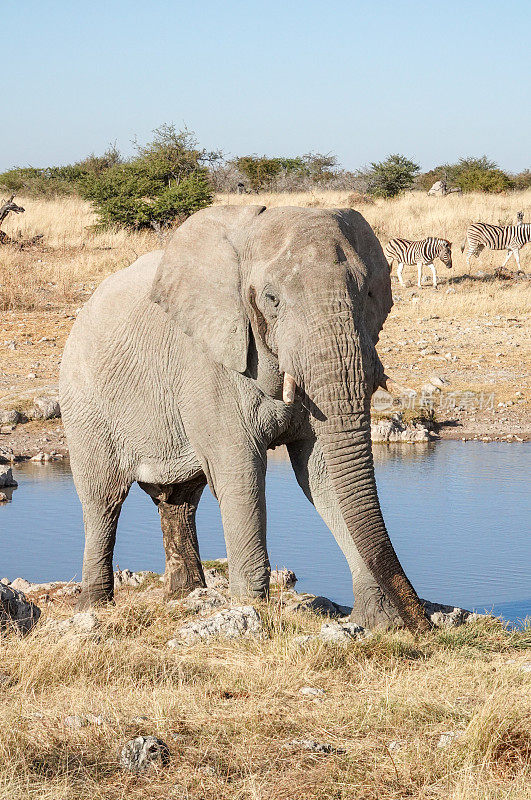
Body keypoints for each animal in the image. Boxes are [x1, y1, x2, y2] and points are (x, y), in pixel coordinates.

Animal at [59, 205, 432, 632]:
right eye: (272, 299)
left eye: (368, 292)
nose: (425, 626)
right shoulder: (208, 364)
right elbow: (241, 472)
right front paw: (251, 613)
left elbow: (321, 475)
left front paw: (378, 622)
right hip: (84, 400)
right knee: (102, 499)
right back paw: (93, 606)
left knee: (178, 499)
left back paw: (185, 597)